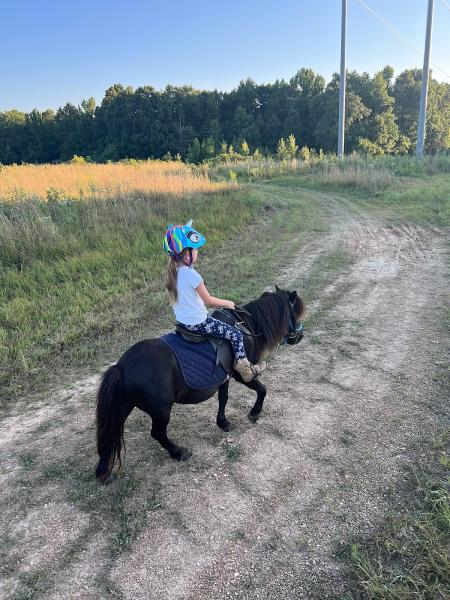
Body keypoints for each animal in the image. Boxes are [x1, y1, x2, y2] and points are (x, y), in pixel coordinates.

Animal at [95, 286, 306, 482]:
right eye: (295, 312)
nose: (299, 336)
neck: (246, 327)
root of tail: (121, 367)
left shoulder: (224, 377)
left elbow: (223, 399)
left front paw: (223, 423)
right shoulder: (240, 375)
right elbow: (262, 389)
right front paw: (255, 413)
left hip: (123, 407)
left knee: (110, 435)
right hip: (160, 410)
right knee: (158, 434)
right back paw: (179, 453)